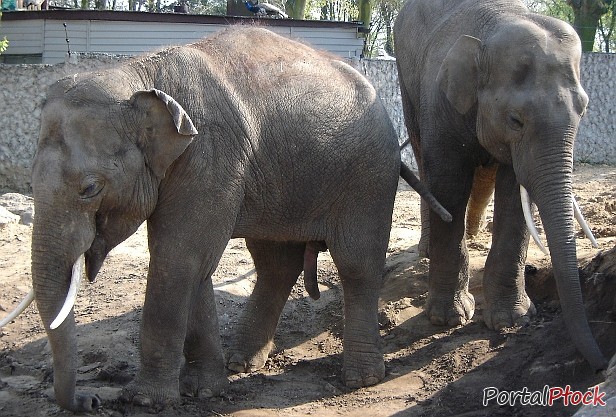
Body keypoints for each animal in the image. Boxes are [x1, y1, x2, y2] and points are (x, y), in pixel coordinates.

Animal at [0, 26, 450, 412]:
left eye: (90, 188)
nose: (90, 401)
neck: (136, 72)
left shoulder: (210, 155)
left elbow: (178, 258)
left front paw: (146, 400)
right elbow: (195, 265)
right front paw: (203, 391)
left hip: (368, 176)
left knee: (357, 263)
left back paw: (360, 379)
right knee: (275, 263)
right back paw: (242, 363)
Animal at [394, 0, 608, 370]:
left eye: (583, 110)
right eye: (515, 120)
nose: (600, 365)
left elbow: (514, 195)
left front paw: (512, 320)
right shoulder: (440, 102)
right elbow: (448, 183)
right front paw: (448, 319)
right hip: (407, 82)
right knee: (422, 156)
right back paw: (428, 249)